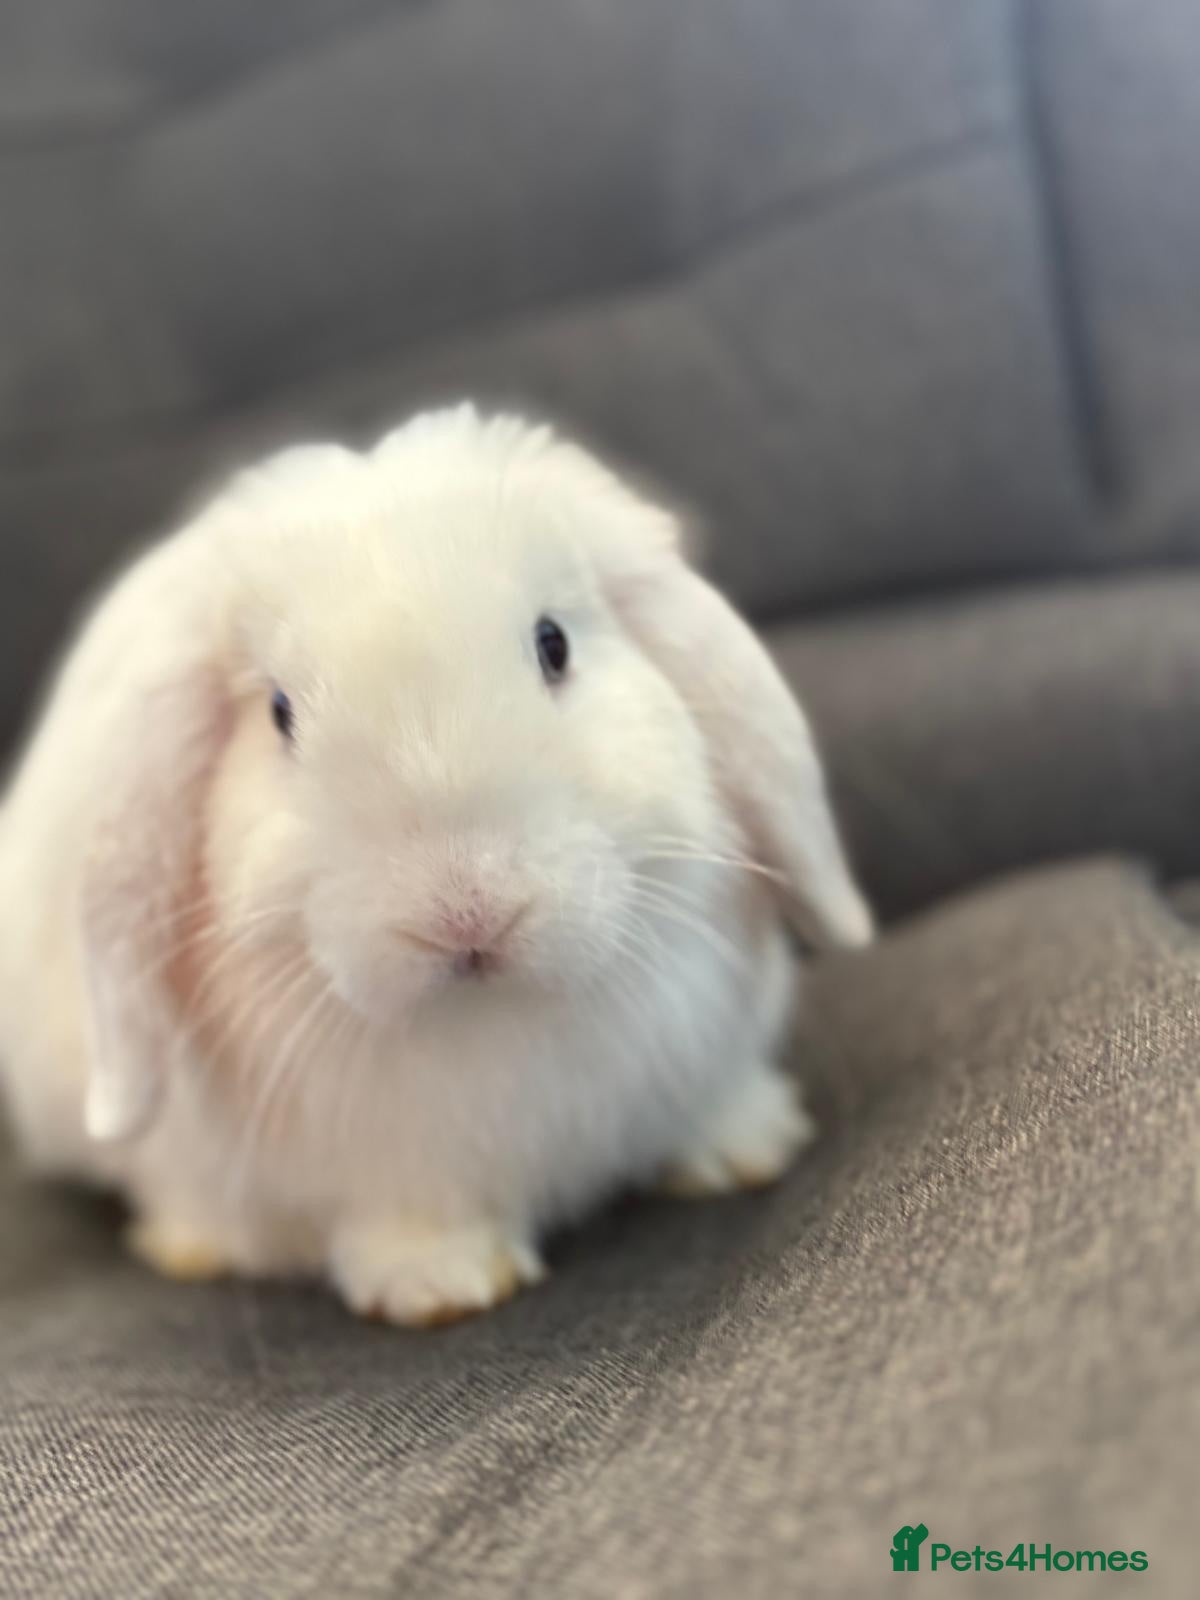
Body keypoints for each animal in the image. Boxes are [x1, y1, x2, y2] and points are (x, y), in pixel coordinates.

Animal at [0, 406, 872, 1326]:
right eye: (279, 713)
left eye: (554, 645)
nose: (467, 912)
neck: (495, 1020)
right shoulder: (387, 1181)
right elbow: (412, 1227)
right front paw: (443, 1288)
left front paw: (751, 1149)